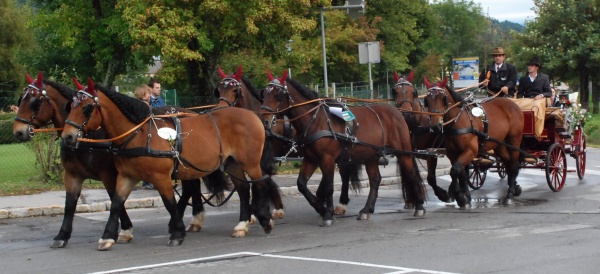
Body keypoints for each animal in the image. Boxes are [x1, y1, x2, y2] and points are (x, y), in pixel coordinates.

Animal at [12, 71, 134, 247]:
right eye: (21, 99)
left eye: (34, 102)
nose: (18, 132)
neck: (86, 138)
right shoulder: (72, 174)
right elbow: (70, 204)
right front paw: (62, 235)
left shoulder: (108, 174)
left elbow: (116, 198)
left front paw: (122, 229)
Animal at [59, 77, 274, 250]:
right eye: (70, 106)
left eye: (86, 108)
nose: (67, 137)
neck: (139, 133)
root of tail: (252, 115)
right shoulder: (126, 176)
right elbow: (116, 203)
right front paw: (108, 237)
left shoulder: (160, 176)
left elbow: (169, 202)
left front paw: (177, 233)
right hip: (232, 164)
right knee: (244, 189)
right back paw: (242, 224)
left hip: (250, 162)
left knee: (260, 184)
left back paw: (265, 219)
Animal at [258, 69, 426, 226]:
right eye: (264, 93)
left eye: (277, 95)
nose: (264, 120)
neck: (316, 120)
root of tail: (398, 111)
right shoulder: (311, 159)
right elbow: (301, 184)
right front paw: (320, 207)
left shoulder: (327, 159)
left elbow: (328, 186)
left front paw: (327, 214)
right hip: (371, 155)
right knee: (375, 180)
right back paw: (366, 210)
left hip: (403, 152)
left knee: (411, 173)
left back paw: (419, 206)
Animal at [394, 70, 450, 203]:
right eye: (395, 92)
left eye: (413, 92)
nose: (406, 114)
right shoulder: (407, 153)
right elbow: (411, 175)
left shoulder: (431, 154)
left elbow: (431, 178)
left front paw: (443, 195)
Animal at [422, 76, 524, 209]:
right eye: (427, 100)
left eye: (443, 98)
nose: (435, 126)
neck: (458, 120)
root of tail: (513, 104)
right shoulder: (452, 153)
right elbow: (461, 173)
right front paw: (465, 198)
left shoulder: (470, 151)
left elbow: (454, 171)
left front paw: (460, 198)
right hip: (499, 144)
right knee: (507, 163)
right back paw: (515, 187)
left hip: (514, 141)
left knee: (513, 164)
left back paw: (510, 195)